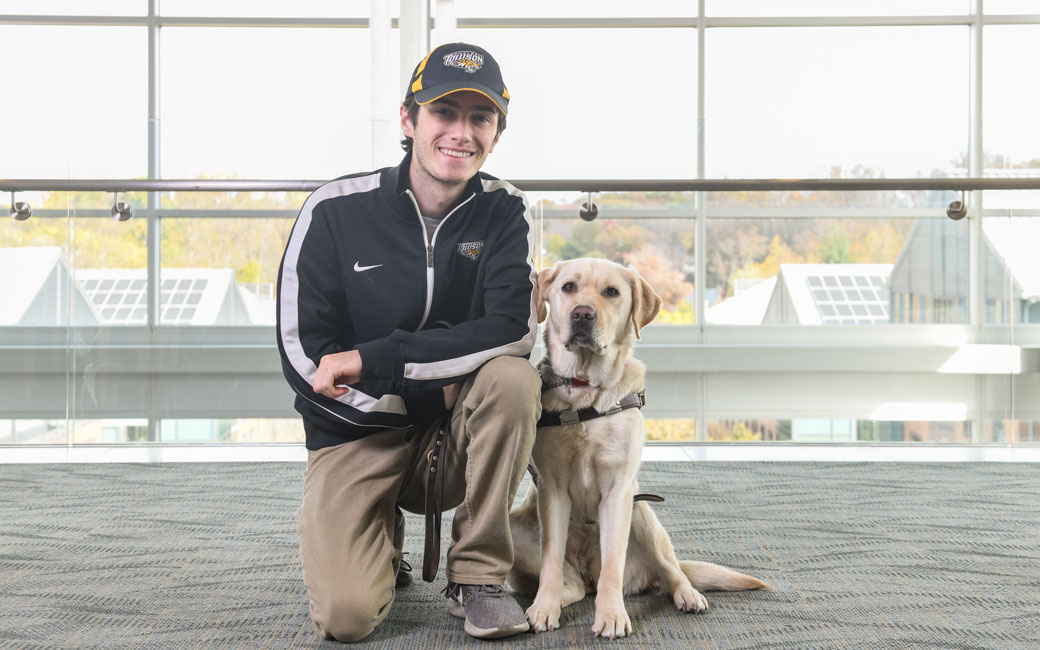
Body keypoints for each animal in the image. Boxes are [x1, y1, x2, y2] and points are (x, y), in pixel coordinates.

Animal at [507, 255, 769, 636]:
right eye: (568, 287)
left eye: (611, 292)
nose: (582, 314)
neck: (586, 390)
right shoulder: (551, 489)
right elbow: (551, 559)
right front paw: (544, 608)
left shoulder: (619, 490)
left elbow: (613, 565)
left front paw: (612, 615)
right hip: (516, 527)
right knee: (574, 584)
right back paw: (554, 597)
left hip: (642, 512)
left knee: (671, 570)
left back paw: (687, 595)